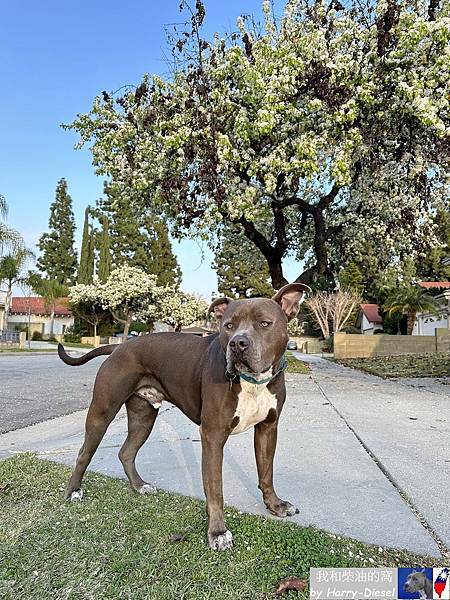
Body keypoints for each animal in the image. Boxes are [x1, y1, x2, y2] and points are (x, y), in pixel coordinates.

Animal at [58, 284, 310, 552]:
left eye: (264, 323)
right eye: (229, 325)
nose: (237, 344)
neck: (252, 382)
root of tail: (120, 346)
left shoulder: (267, 429)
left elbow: (266, 472)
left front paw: (275, 505)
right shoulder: (213, 435)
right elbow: (215, 488)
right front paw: (218, 532)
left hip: (143, 418)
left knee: (126, 452)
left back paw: (139, 486)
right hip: (102, 412)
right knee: (84, 453)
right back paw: (73, 491)